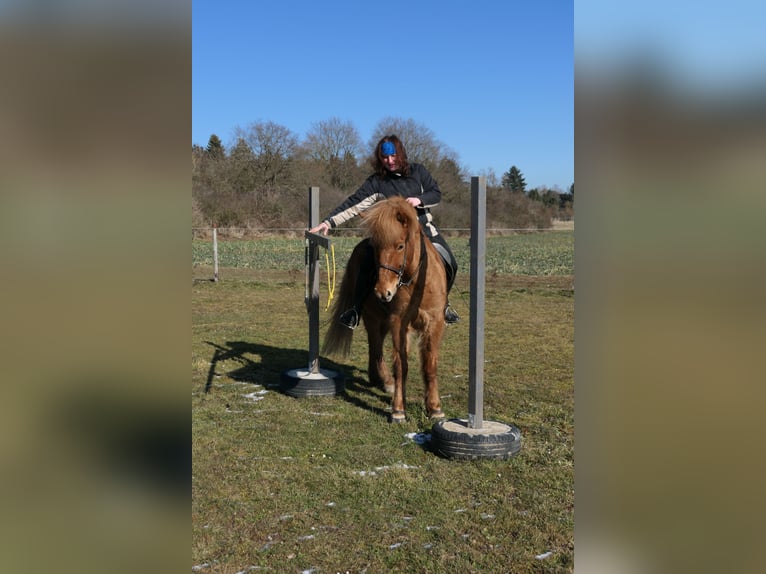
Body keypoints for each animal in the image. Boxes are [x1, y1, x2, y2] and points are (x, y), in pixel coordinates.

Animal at [320, 196, 448, 426]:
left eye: (400, 245)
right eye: (376, 247)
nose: (383, 292)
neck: (415, 280)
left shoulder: (434, 322)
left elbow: (429, 364)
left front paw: (434, 408)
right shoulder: (398, 322)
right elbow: (400, 365)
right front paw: (398, 410)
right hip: (373, 318)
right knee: (376, 347)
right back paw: (384, 380)